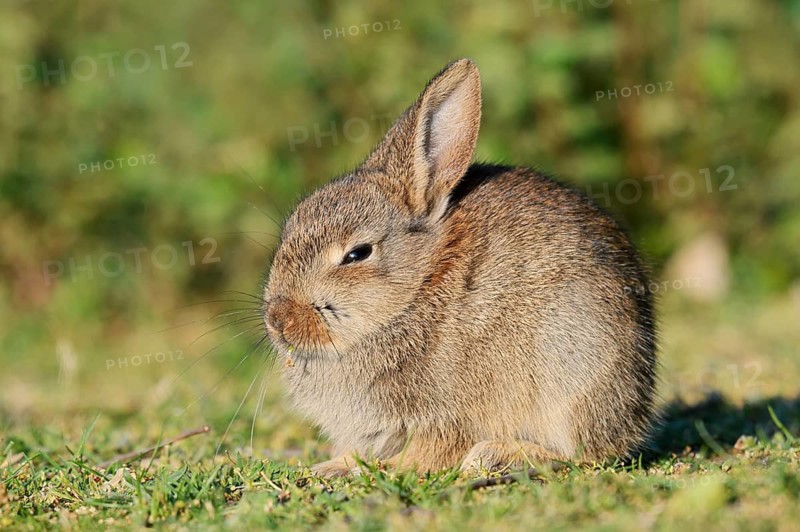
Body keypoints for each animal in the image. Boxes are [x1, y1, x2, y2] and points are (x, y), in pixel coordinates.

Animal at [263, 58, 657, 477]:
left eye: (357, 254)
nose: (278, 320)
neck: (416, 289)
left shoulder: (443, 417)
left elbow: (432, 451)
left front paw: (366, 469)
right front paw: (335, 463)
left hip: (572, 370)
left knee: (582, 455)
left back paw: (496, 454)